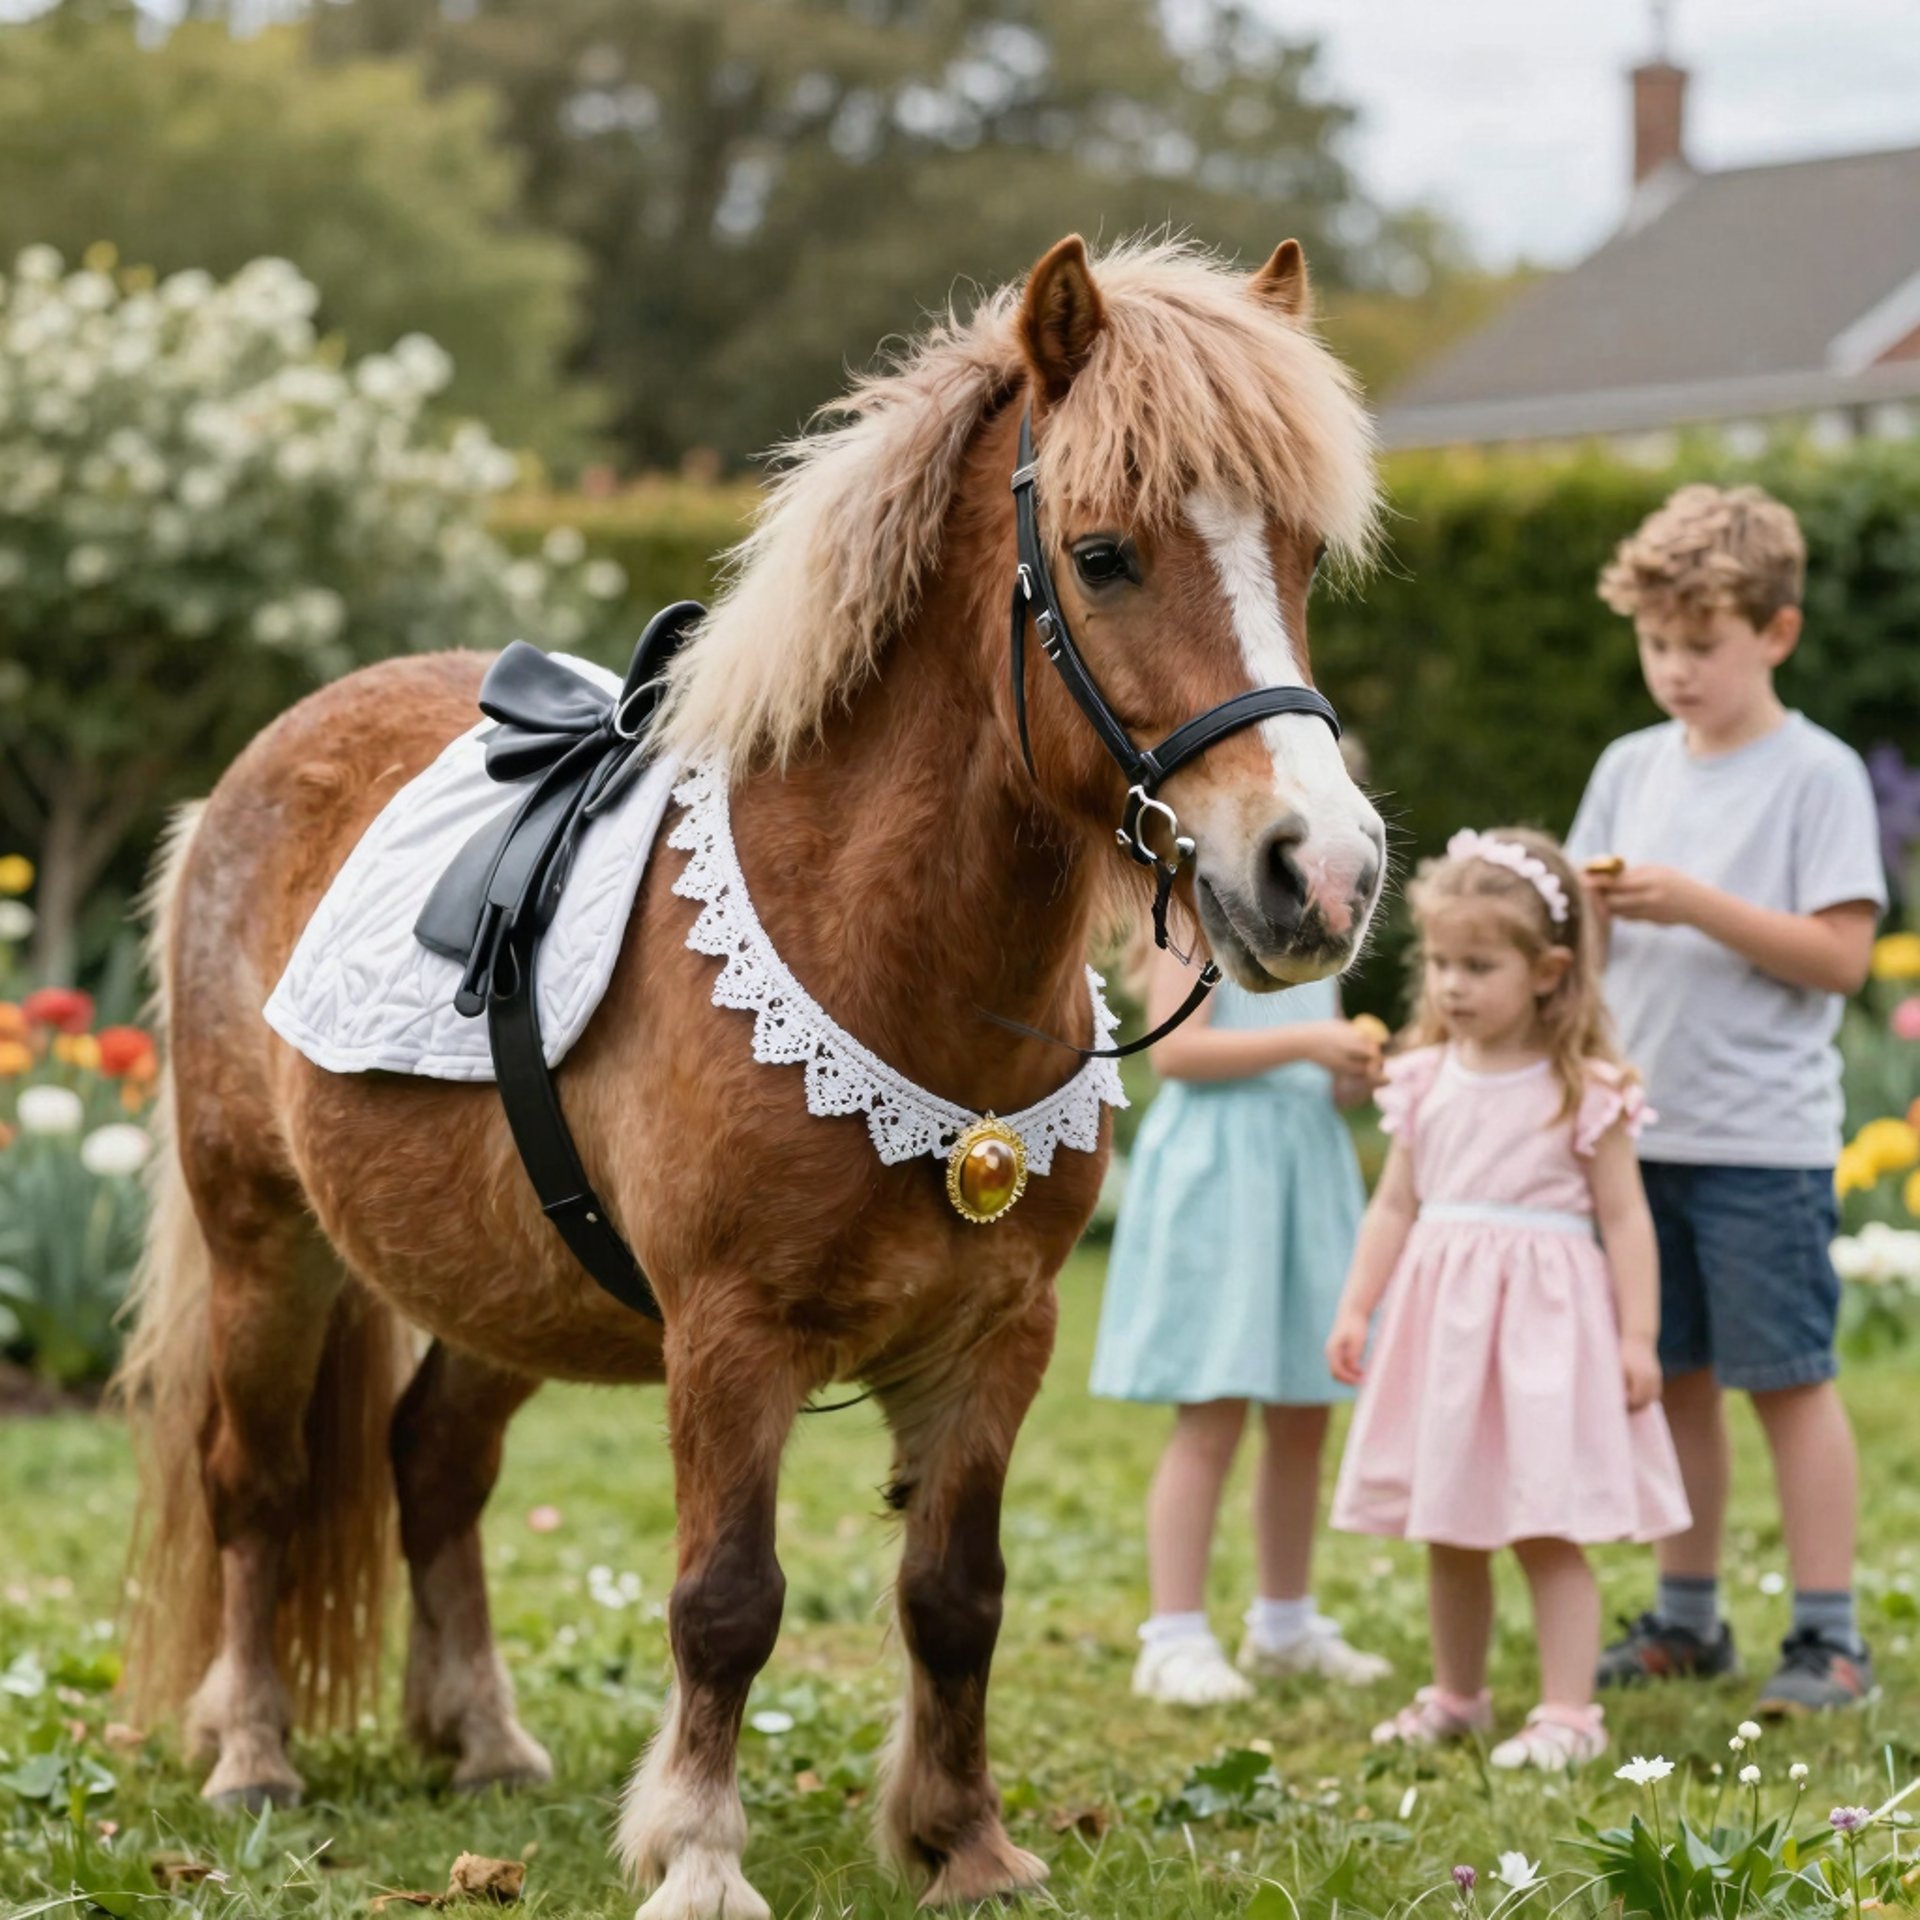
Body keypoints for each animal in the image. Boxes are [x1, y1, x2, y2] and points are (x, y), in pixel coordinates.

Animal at [115, 232, 1384, 1920]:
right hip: (270, 1247)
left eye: (1300, 557)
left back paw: (483, 1740)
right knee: (253, 1483)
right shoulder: (728, 1337)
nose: (1322, 873)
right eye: (1105, 556)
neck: (882, 951)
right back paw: (254, 1754)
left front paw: (963, 1843)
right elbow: (726, 1598)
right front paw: (701, 1854)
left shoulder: (999, 1335)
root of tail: (250, 777)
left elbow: (957, 1595)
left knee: (435, 1465)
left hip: (510, 1283)